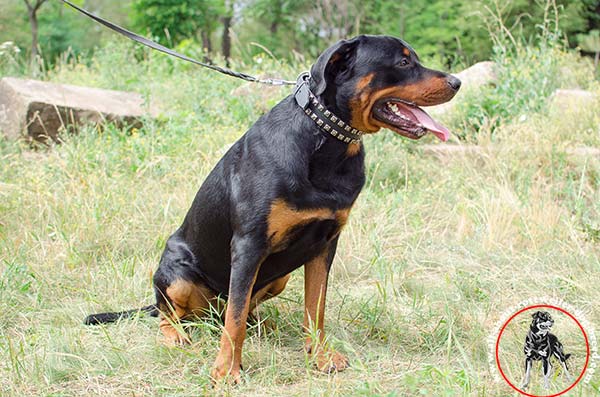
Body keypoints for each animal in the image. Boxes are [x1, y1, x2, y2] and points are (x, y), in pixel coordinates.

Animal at [84, 35, 460, 382]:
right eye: (403, 62)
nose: (457, 82)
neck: (326, 142)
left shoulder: (325, 244)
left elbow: (315, 308)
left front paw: (319, 356)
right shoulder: (249, 244)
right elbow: (235, 320)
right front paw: (227, 370)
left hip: (279, 277)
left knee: (235, 311)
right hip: (176, 274)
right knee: (178, 313)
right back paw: (176, 335)